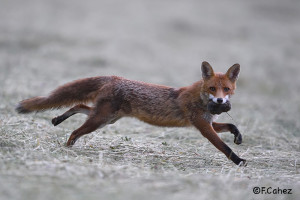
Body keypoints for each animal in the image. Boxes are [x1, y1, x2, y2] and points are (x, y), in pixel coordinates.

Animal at [17, 62, 246, 166]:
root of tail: (114, 77)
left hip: (106, 119)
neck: (200, 99)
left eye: (226, 89)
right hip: (100, 120)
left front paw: (238, 137)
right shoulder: (203, 126)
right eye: (212, 88)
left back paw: (58, 119)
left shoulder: (207, 123)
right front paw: (239, 161)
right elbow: (224, 147)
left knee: (79, 105)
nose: (220, 101)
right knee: (75, 130)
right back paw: (67, 148)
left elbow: (231, 127)